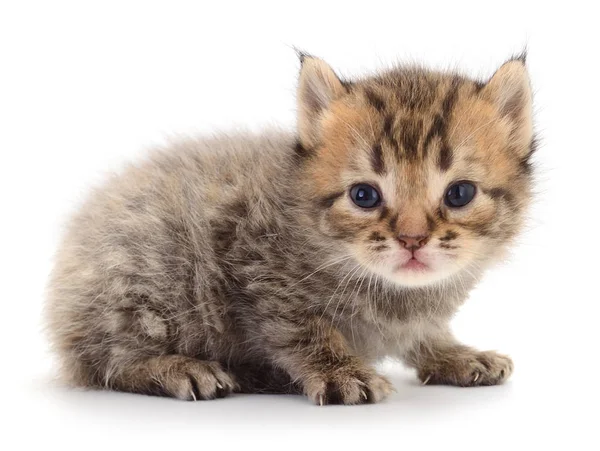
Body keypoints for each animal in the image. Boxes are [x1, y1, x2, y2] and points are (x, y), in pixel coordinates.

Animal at [45, 53, 536, 406]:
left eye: (459, 194)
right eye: (364, 196)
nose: (412, 240)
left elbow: (424, 333)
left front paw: (454, 354)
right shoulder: (255, 265)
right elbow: (302, 329)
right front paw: (341, 372)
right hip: (144, 277)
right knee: (105, 361)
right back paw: (175, 368)